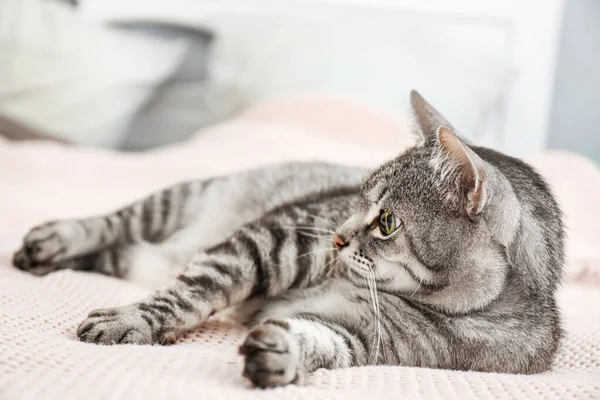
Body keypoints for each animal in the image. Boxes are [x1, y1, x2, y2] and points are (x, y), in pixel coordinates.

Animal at [11, 91, 564, 388]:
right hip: (182, 199)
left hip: (150, 252)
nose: (338, 238)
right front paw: (132, 321)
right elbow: (193, 292)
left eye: (387, 222)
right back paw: (50, 240)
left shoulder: (364, 339)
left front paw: (281, 355)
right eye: (357, 201)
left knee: (123, 252)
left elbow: (319, 341)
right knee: (115, 224)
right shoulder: (272, 241)